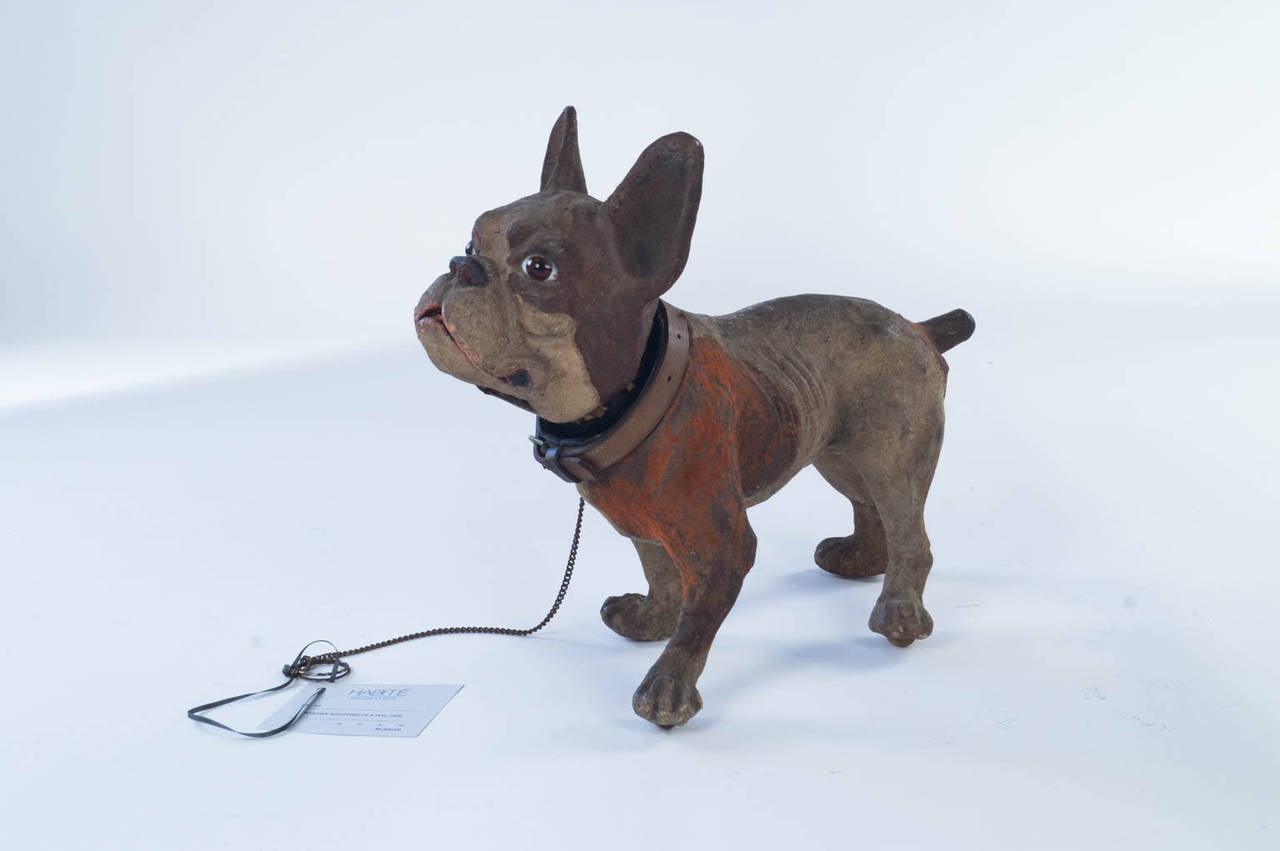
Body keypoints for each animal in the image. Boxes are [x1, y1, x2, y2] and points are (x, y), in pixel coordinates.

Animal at [414, 109, 972, 726]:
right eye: (470, 241)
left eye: (539, 269)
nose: (460, 265)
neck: (635, 391)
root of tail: (918, 328)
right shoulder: (642, 526)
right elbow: (661, 576)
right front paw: (651, 618)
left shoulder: (720, 545)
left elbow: (698, 618)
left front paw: (668, 686)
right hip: (839, 453)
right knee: (869, 507)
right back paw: (859, 560)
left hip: (894, 454)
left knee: (909, 530)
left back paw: (898, 611)